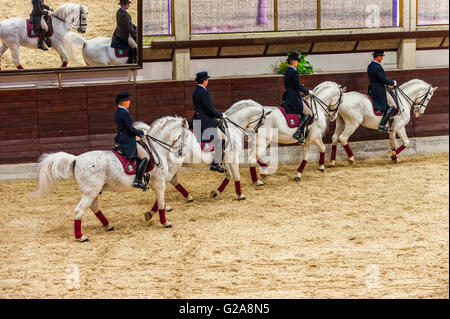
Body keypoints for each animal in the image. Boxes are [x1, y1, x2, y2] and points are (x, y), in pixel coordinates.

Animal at [29, 117, 188, 242]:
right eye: (185, 135)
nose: (181, 152)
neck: (156, 149)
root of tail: (76, 159)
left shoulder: (158, 184)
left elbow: (160, 202)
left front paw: (150, 215)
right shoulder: (160, 183)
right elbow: (161, 203)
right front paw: (165, 222)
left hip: (93, 191)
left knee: (93, 207)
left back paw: (108, 225)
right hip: (90, 192)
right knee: (79, 210)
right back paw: (81, 237)